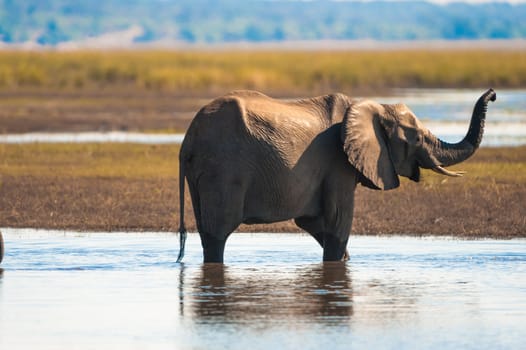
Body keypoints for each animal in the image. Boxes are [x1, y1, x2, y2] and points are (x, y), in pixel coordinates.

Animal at [178, 88, 500, 262]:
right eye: (418, 139)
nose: (494, 94)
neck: (371, 106)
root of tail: (188, 139)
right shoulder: (337, 163)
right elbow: (337, 222)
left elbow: (314, 222)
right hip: (223, 170)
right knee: (218, 232)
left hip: (203, 173)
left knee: (207, 231)